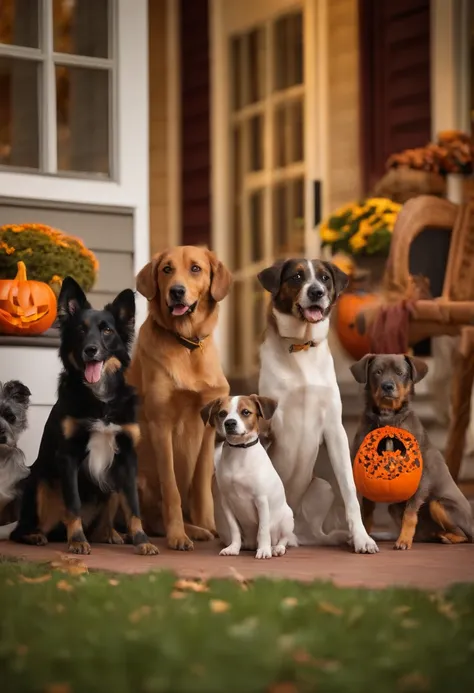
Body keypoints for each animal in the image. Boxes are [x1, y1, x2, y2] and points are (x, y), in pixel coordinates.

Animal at [10, 278, 157, 556]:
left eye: (107, 331)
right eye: (80, 330)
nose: (91, 350)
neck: (100, 398)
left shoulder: (127, 458)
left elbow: (133, 505)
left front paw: (142, 540)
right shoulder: (68, 456)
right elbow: (74, 504)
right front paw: (77, 540)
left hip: (111, 484)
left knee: (103, 524)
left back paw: (112, 534)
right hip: (39, 481)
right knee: (20, 530)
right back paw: (35, 535)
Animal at [127, 246, 232, 548]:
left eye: (195, 268)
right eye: (167, 269)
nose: (176, 291)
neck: (187, 346)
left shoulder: (209, 428)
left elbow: (201, 487)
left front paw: (208, 525)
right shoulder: (161, 425)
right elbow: (171, 488)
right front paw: (177, 536)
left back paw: (198, 530)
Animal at [201, 394, 296, 556]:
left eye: (245, 412)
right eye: (222, 413)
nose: (229, 423)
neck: (239, 451)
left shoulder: (261, 500)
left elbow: (263, 529)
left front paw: (264, 550)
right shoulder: (227, 503)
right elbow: (234, 530)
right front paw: (233, 548)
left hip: (287, 518)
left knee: (284, 539)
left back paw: (276, 548)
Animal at [258, 256, 380, 556]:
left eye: (324, 278)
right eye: (297, 277)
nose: (316, 292)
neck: (302, 346)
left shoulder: (335, 429)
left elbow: (349, 490)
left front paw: (362, 538)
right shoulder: (269, 427)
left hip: (322, 488)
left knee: (313, 534)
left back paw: (332, 537)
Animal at [350, 354, 472, 548]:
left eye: (400, 373)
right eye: (377, 372)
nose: (387, 386)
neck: (388, 420)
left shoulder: (422, 478)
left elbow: (410, 514)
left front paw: (404, 541)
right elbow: (366, 514)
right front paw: (366, 538)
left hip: (439, 504)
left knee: (464, 535)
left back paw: (447, 537)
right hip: (395, 507)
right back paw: (437, 535)